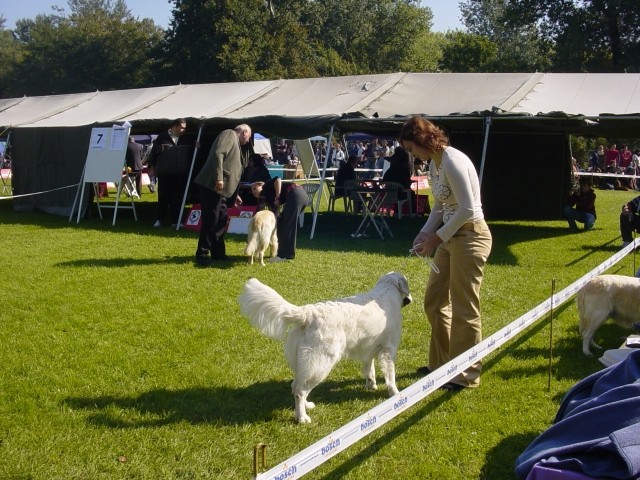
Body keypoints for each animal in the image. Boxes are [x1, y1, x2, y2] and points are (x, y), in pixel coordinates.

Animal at [238, 272, 412, 422]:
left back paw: (306, 407)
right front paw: (396, 394)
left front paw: (372, 386)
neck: (387, 290)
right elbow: (390, 375)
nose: (410, 300)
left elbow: (370, 370)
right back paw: (302, 418)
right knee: (300, 391)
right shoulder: (388, 350)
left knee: (295, 386)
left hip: (302, 365)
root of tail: (309, 312)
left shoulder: (367, 349)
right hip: (320, 365)